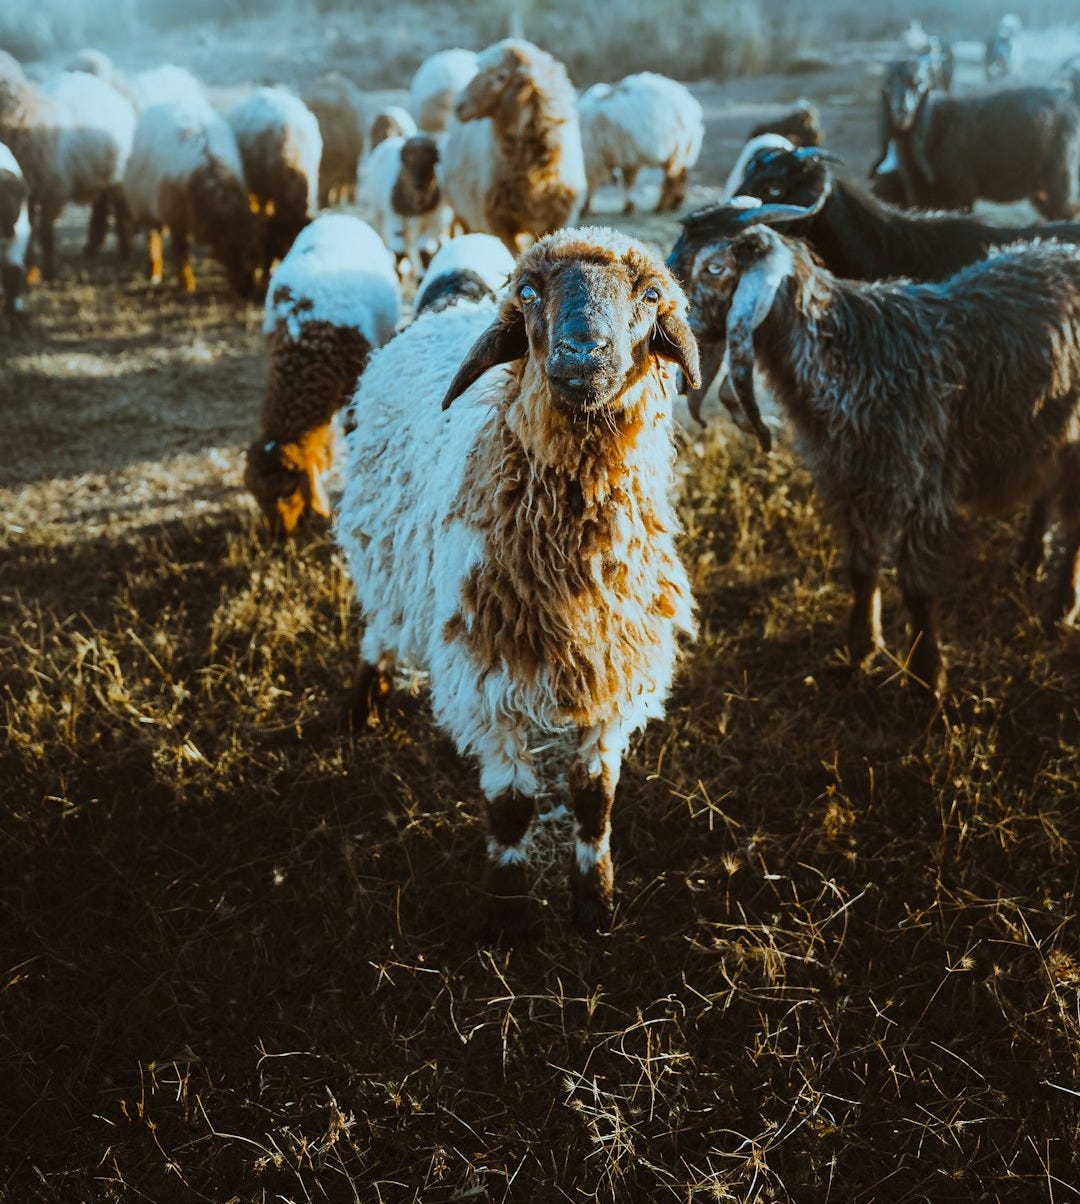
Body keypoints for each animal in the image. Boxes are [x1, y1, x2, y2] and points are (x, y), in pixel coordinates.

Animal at [123, 88, 260, 298]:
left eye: (259, 255)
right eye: (232, 255)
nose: (249, 292)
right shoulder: (176, 220)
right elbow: (181, 252)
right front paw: (187, 284)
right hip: (144, 202)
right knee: (153, 236)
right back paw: (154, 271)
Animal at [335, 226, 700, 938]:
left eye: (650, 295)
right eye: (529, 291)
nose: (584, 352)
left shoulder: (612, 673)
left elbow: (594, 800)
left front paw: (594, 902)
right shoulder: (487, 676)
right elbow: (510, 808)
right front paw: (506, 916)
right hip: (383, 549)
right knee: (379, 627)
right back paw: (363, 701)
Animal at [361, 133, 451, 279]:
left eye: (432, 160)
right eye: (407, 161)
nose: (418, 184)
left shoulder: (432, 219)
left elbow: (424, 250)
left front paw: (423, 276)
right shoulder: (395, 218)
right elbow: (398, 250)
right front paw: (398, 276)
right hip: (377, 212)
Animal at [577, 71, 704, 215]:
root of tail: (692, 106)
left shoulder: (619, 156)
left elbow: (624, 182)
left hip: (676, 147)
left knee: (671, 178)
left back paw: (660, 207)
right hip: (684, 150)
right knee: (681, 175)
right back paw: (676, 202)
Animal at [680, 222, 1080, 696]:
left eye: (715, 269)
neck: (846, 355)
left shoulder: (921, 479)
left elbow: (917, 588)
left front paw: (927, 677)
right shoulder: (850, 479)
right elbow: (861, 569)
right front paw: (860, 650)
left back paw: (1058, 609)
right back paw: (1030, 560)